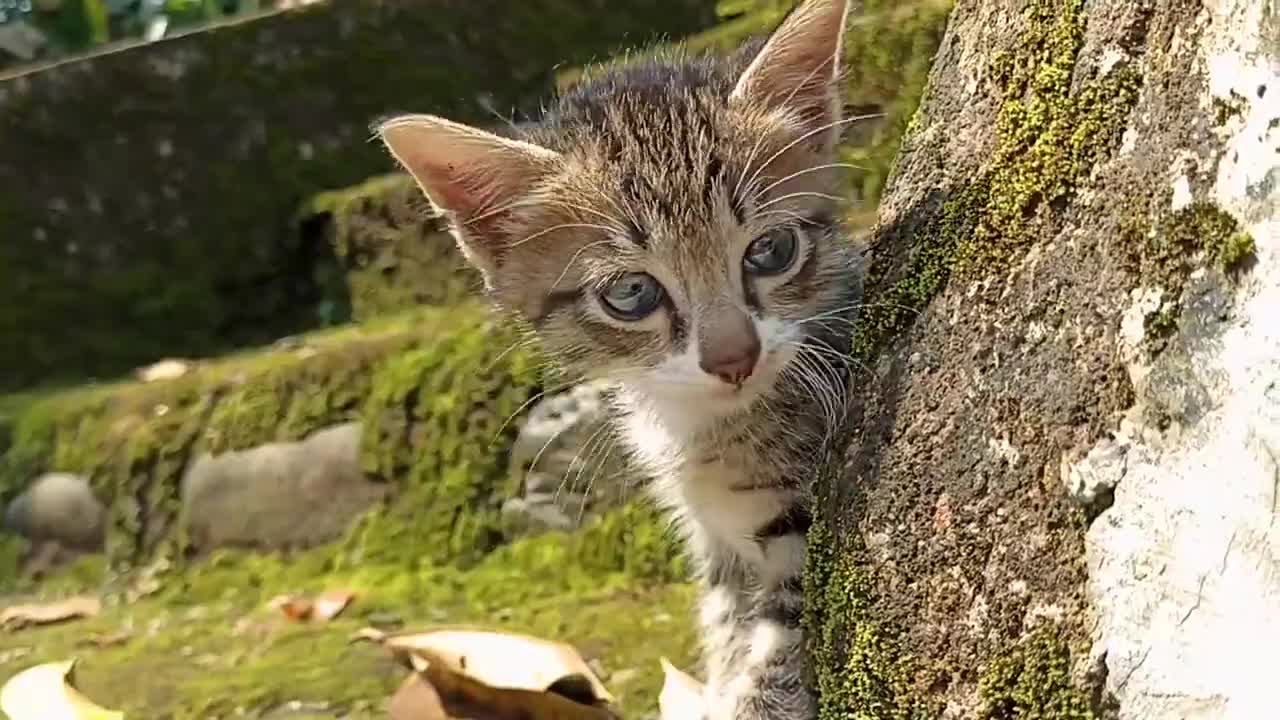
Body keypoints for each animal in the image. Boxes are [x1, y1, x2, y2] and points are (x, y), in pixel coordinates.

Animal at [378, 2, 860, 712]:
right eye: (631, 294)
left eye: (771, 251)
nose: (734, 358)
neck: (704, 429)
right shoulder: (719, 552)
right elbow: (726, 637)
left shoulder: (795, 532)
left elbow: (772, 665)